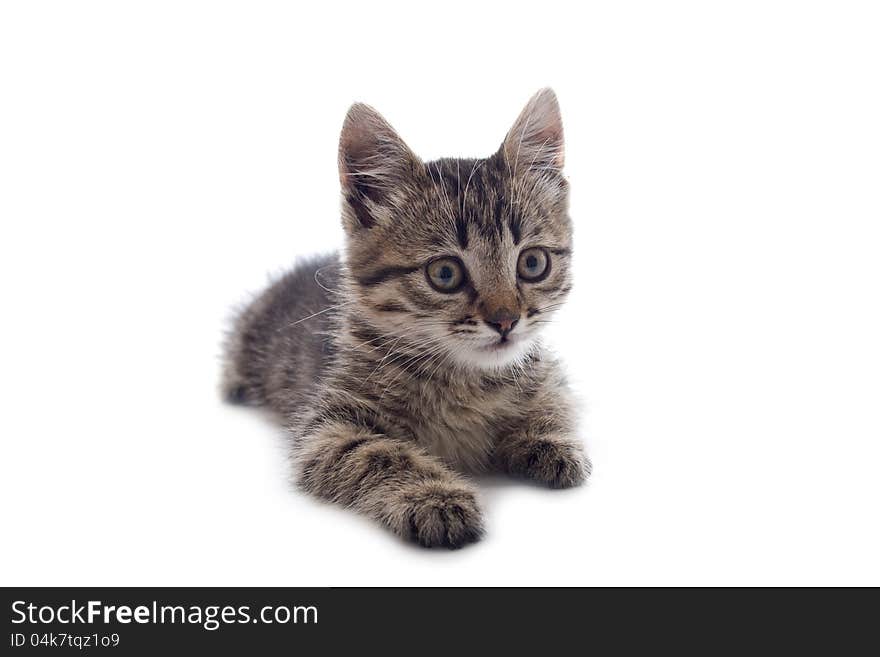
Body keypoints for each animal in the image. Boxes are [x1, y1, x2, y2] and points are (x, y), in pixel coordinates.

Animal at [222, 89, 592, 544]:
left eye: (533, 263)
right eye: (445, 273)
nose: (506, 321)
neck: (466, 379)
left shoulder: (548, 371)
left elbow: (554, 400)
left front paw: (551, 441)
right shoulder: (326, 428)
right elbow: (379, 454)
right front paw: (436, 497)